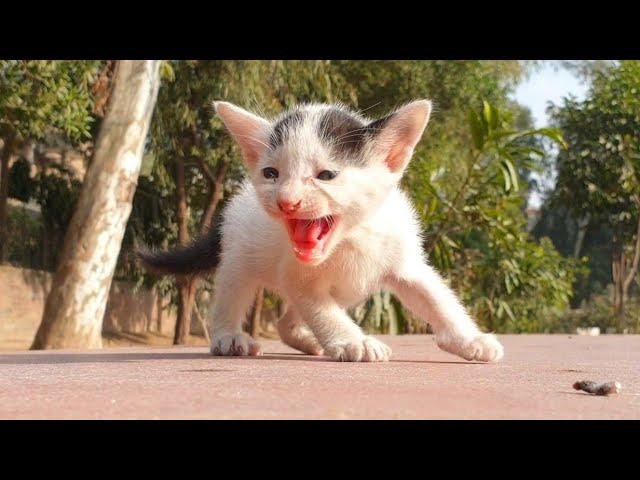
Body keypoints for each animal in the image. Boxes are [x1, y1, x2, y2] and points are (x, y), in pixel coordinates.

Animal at [141, 102, 504, 364]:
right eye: (271, 174)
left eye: (326, 175)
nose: (287, 201)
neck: (352, 239)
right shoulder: (296, 274)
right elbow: (322, 311)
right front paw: (354, 341)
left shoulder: (403, 257)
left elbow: (436, 297)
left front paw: (470, 340)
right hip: (237, 254)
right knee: (233, 292)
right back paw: (229, 337)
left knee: (287, 321)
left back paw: (307, 340)